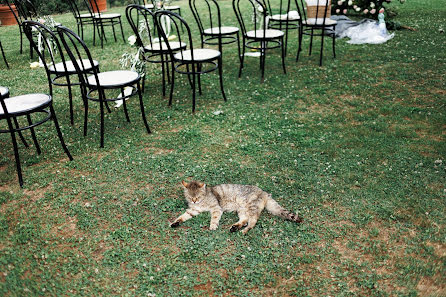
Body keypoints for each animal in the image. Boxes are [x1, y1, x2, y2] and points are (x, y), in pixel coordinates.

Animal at [171, 180, 304, 234]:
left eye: (197, 196)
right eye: (190, 197)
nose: (194, 201)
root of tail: (264, 193)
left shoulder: (216, 208)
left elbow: (214, 218)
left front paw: (213, 225)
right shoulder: (193, 210)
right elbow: (183, 216)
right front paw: (175, 222)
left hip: (252, 208)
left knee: (252, 222)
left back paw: (244, 230)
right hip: (242, 209)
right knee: (244, 220)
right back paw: (235, 227)